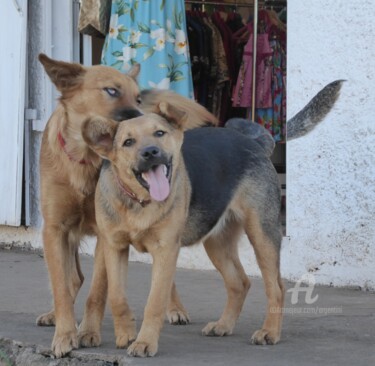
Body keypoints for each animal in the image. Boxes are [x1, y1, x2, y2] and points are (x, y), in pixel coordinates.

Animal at [38, 54, 216, 358]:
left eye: (137, 97)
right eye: (111, 91)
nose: (139, 115)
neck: (85, 160)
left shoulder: (105, 234)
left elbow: (99, 290)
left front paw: (88, 331)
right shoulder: (55, 228)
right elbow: (61, 286)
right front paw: (65, 334)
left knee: (163, 275)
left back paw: (175, 308)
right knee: (71, 279)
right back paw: (53, 313)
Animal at [81, 78, 344, 356]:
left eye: (160, 134)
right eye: (128, 142)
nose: (151, 152)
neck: (139, 202)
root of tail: (254, 142)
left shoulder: (165, 250)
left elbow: (154, 302)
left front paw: (144, 342)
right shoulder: (114, 247)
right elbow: (117, 296)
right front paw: (125, 335)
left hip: (262, 233)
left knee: (277, 287)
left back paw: (270, 332)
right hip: (217, 242)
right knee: (240, 283)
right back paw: (223, 325)